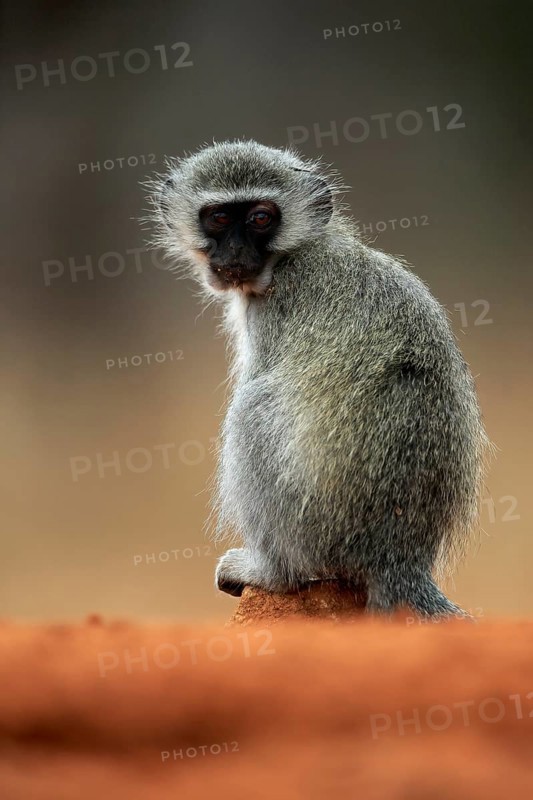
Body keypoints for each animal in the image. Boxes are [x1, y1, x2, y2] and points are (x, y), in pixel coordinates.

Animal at [147, 139, 492, 618]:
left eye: (260, 218)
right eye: (218, 217)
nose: (234, 254)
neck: (292, 255)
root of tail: (400, 558)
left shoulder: (272, 310)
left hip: (317, 531)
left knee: (253, 407)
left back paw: (272, 573)